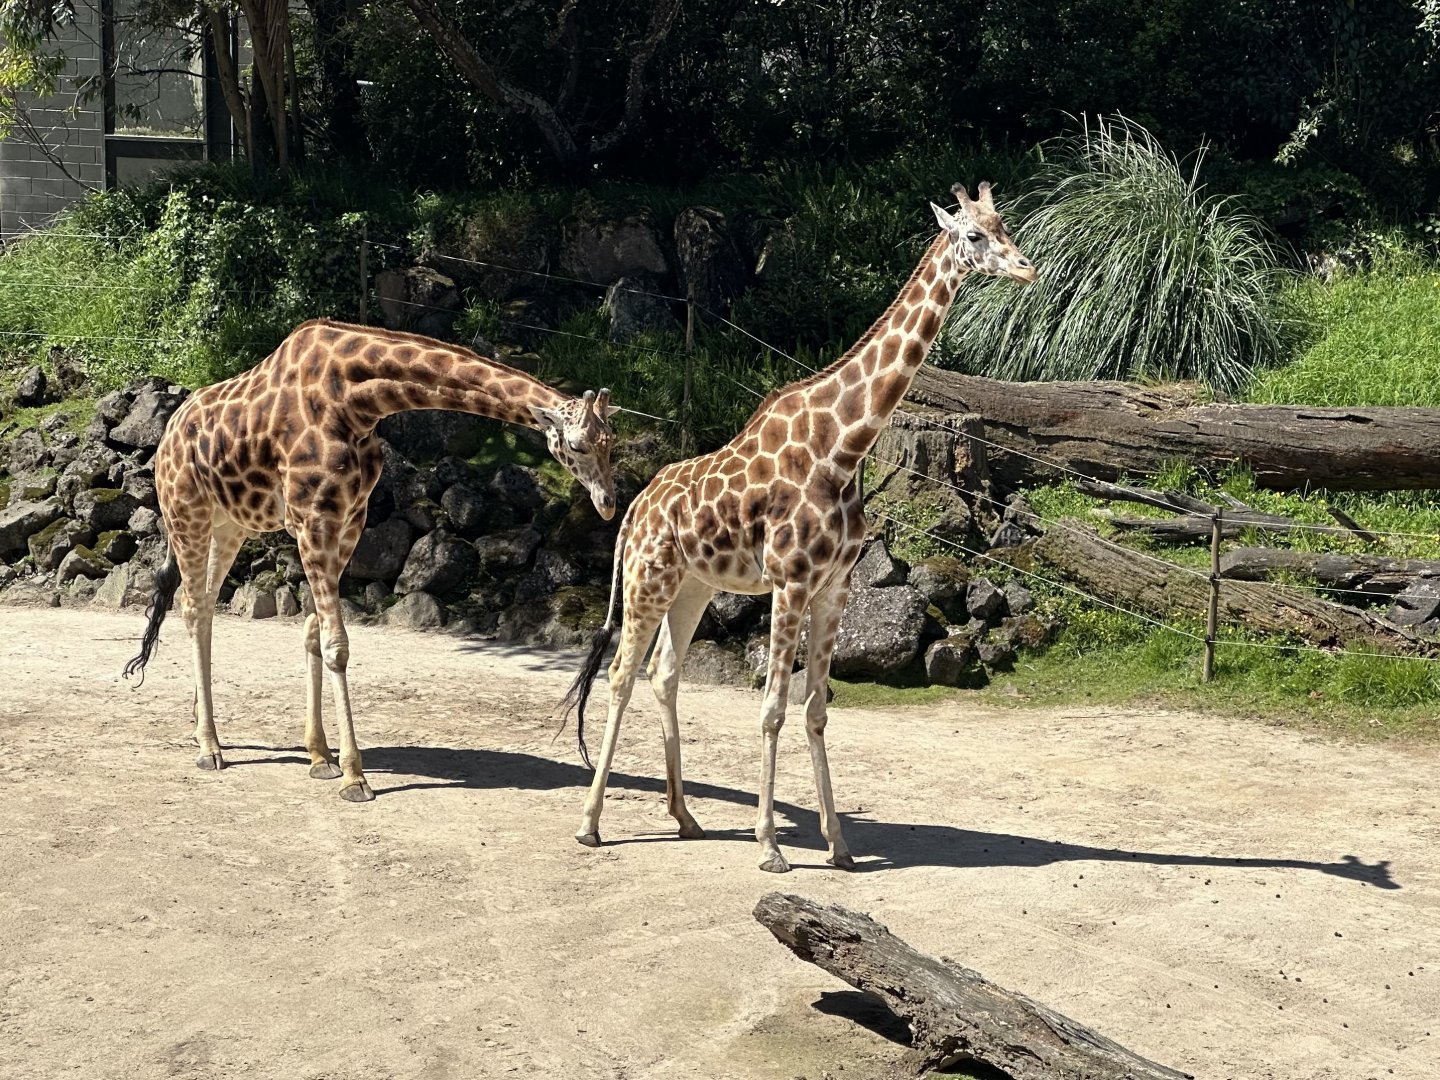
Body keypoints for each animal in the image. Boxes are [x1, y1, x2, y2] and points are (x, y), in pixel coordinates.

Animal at [124, 318, 620, 803]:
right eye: (577, 446)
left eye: (610, 441)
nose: (608, 503)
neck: (357, 404)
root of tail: (167, 434)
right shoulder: (313, 519)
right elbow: (337, 645)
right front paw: (353, 776)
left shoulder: (349, 521)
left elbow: (313, 632)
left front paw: (320, 755)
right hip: (186, 510)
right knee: (192, 607)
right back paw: (209, 748)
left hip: (230, 522)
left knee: (206, 605)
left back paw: (200, 726)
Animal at [564, 183, 1034, 872]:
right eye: (972, 235)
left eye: (1006, 225)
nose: (1026, 269)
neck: (842, 447)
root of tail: (633, 509)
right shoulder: (789, 582)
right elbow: (771, 710)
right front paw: (770, 846)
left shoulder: (835, 586)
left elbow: (815, 710)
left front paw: (839, 845)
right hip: (648, 580)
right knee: (622, 675)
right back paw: (590, 824)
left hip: (693, 586)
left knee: (664, 674)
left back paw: (686, 818)